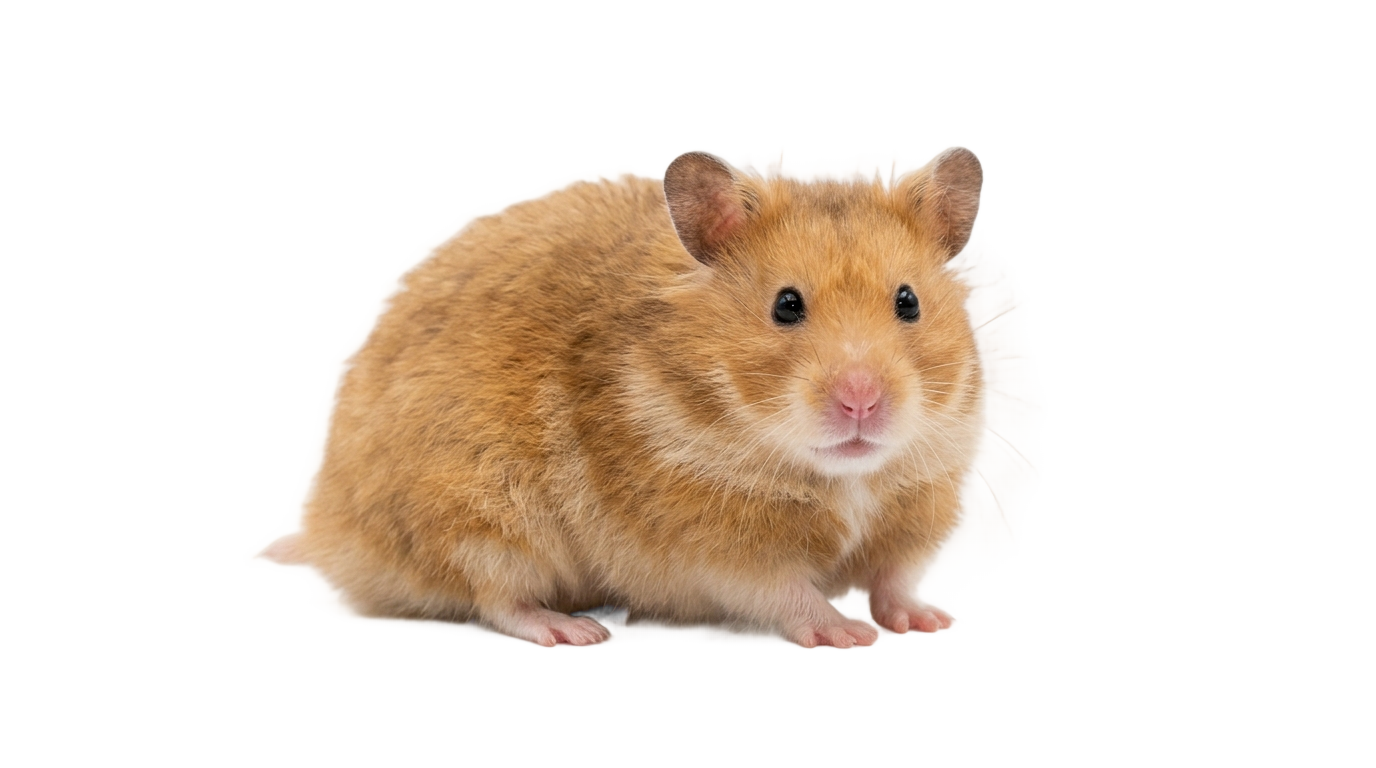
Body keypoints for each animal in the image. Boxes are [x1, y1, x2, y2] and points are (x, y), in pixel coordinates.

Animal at [262, 148, 985, 646]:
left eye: (908, 301)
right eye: (786, 305)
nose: (862, 403)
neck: (842, 477)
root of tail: (328, 528)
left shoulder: (914, 510)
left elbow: (891, 579)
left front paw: (929, 624)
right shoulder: (717, 549)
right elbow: (786, 594)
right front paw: (850, 635)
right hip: (479, 514)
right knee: (495, 600)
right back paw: (574, 634)